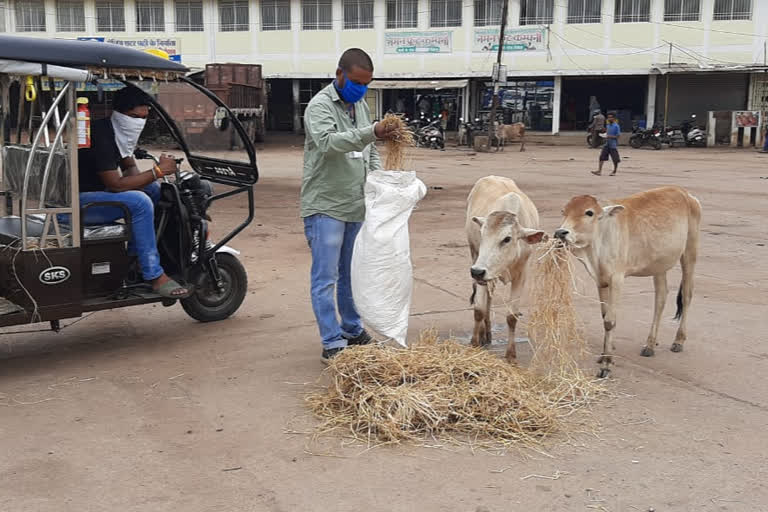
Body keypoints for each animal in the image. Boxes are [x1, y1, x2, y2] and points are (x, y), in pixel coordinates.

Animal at [464, 175, 548, 360]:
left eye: (507, 239)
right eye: (482, 234)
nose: (476, 271)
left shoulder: (521, 275)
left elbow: (512, 317)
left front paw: (511, 355)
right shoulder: (481, 267)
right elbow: (479, 310)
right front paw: (474, 344)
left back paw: (487, 333)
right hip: (475, 255)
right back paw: (484, 333)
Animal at [552, 186, 704, 378]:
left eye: (589, 212)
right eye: (564, 211)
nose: (560, 233)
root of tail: (685, 193)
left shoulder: (617, 279)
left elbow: (610, 321)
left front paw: (606, 364)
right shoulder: (600, 281)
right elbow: (604, 316)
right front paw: (603, 355)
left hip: (690, 253)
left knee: (686, 295)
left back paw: (678, 340)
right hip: (659, 265)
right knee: (661, 298)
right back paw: (650, 344)